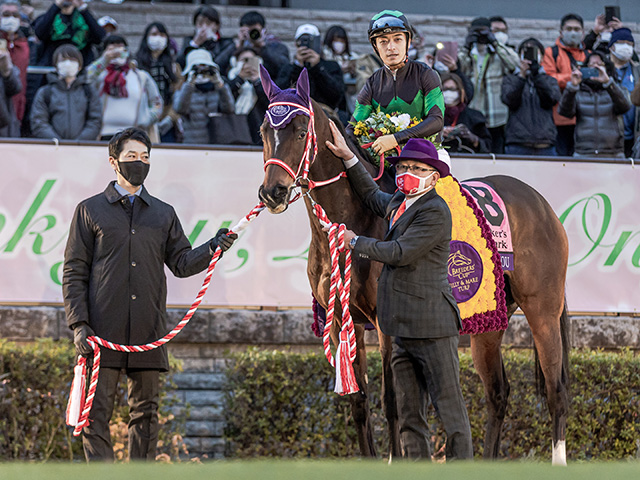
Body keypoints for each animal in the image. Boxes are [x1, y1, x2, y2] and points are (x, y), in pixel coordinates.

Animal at [255, 68, 568, 464]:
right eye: (264, 131)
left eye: (299, 131)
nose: (273, 193)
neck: (358, 215)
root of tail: (543, 206)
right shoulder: (342, 320)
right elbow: (359, 401)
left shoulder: (386, 323)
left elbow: (392, 400)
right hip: (490, 322)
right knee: (498, 394)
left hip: (543, 311)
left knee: (556, 391)